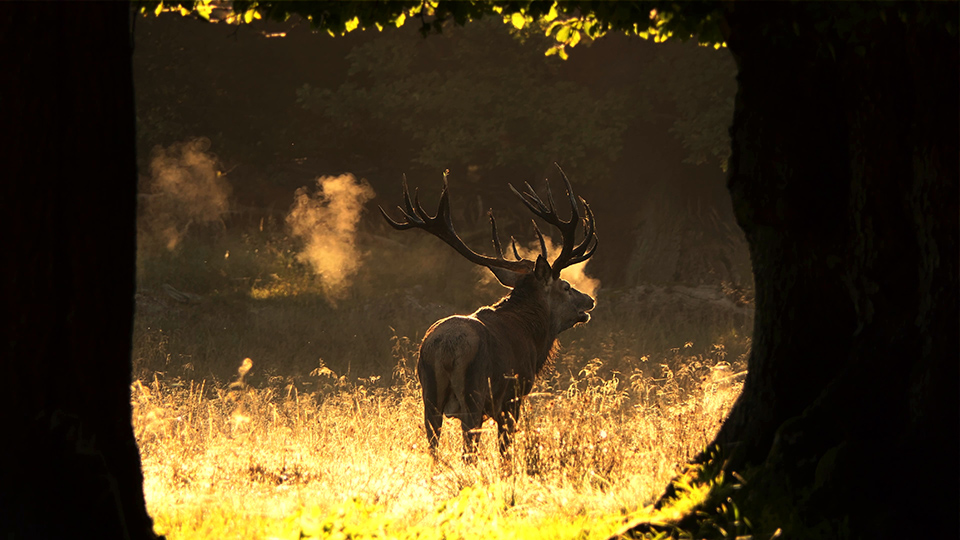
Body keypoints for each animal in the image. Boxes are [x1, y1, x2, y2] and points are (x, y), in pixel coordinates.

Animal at [379, 164, 597, 462]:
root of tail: (445, 348)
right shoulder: (513, 396)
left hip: (429, 396)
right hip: (474, 393)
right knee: (468, 451)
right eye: (565, 287)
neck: (534, 337)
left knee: (433, 446)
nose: (589, 301)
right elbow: (506, 451)